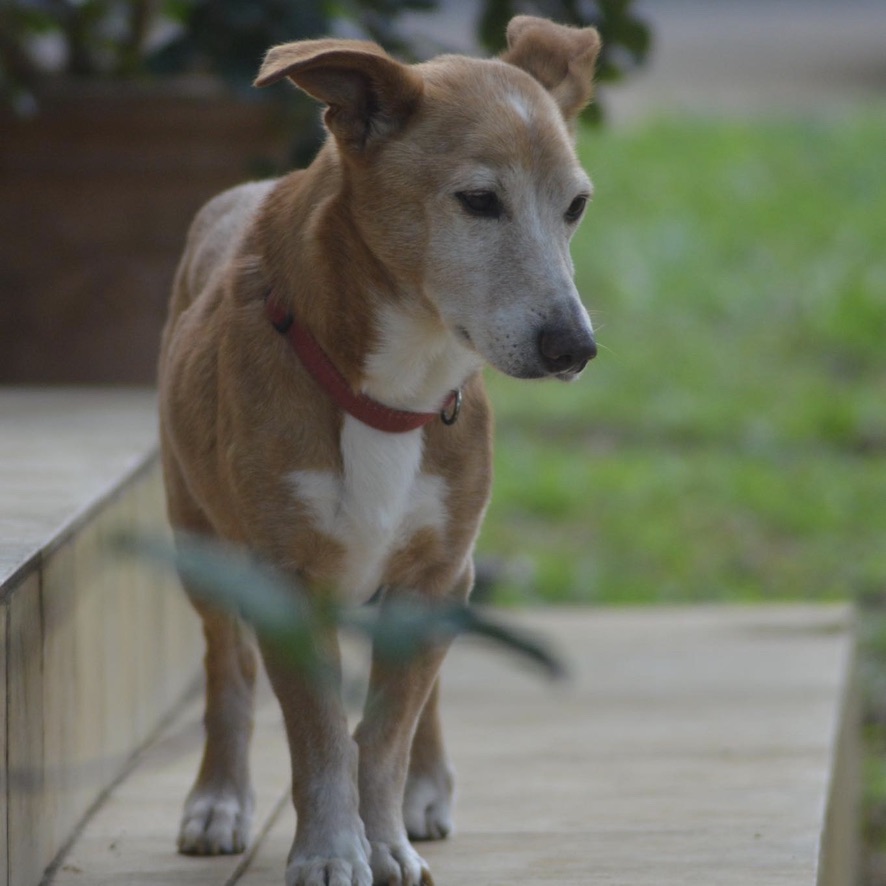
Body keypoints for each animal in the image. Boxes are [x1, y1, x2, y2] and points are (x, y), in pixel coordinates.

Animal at [160, 15, 604, 886]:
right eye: (478, 201)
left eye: (575, 205)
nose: (575, 346)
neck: (395, 391)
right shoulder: (285, 576)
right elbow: (324, 734)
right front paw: (333, 849)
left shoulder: (439, 570)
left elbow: (386, 731)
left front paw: (387, 837)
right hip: (197, 532)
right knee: (228, 672)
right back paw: (219, 800)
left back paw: (425, 791)